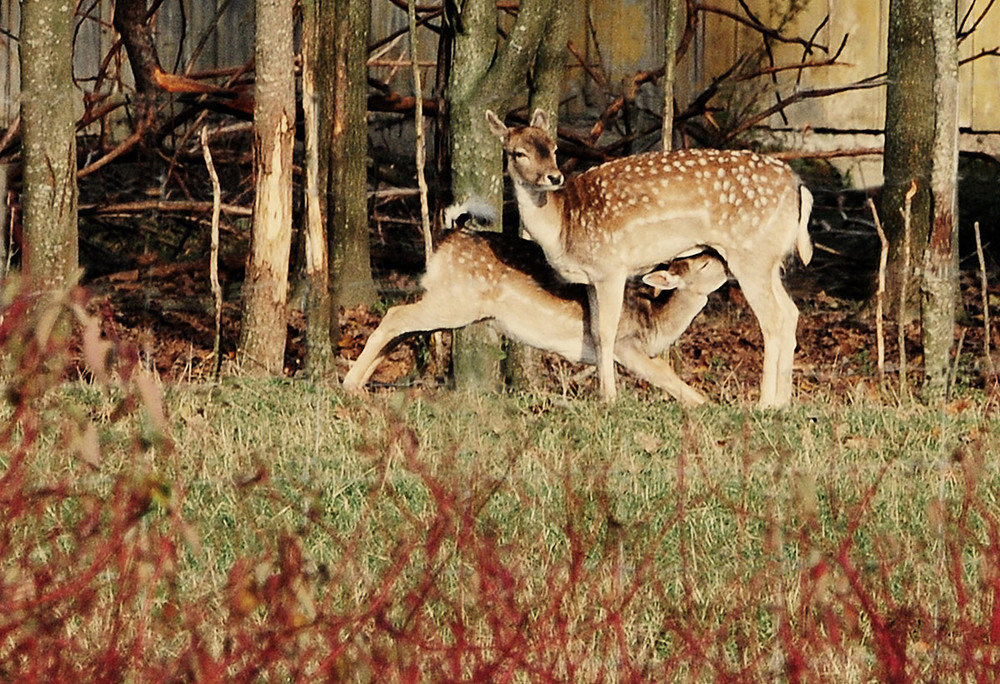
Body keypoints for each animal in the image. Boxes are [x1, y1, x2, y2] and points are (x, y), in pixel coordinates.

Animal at [488, 107, 816, 406]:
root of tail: (798, 185)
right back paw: (783, 403)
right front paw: (603, 393)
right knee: (790, 312)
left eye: (554, 147)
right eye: (518, 153)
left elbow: (607, 331)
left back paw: (764, 403)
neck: (562, 229)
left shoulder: (611, 265)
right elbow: (595, 332)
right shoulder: (591, 278)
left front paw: (609, 397)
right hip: (768, 259)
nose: (553, 177)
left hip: (750, 254)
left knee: (772, 319)